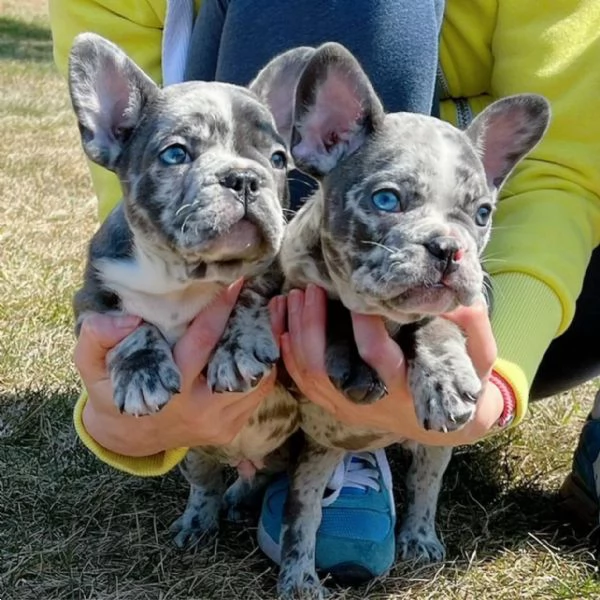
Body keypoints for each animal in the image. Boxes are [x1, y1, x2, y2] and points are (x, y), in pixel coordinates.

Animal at [68, 35, 300, 548]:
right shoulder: (93, 300)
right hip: (196, 454)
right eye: (175, 154)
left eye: (277, 159)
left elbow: (252, 290)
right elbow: (132, 329)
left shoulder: (281, 272)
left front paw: (236, 349)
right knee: (207, 480)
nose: (244, 177)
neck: (183, 276)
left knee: (262, 475)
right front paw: (141, 371)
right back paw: (201, 518)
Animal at [251, 43, 552, 600]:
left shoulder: (451, 311)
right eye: (386, 199)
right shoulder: (294, 290)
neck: (388, 317)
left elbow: (436, 325)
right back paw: (300, 577)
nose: (449, 247)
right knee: (303, 518)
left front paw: (444, 378)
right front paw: (356, 360)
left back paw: (420, 537)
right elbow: (336, 307)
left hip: (433, 451)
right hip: (317, 456)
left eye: (482, 213)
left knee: (425, 486)